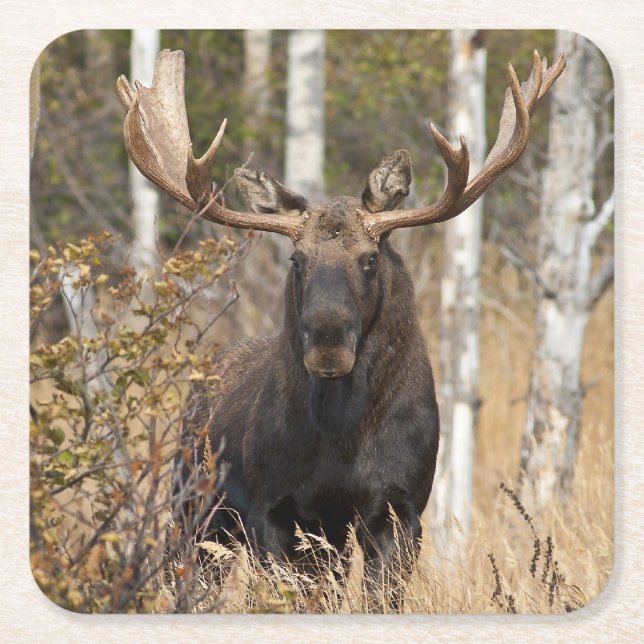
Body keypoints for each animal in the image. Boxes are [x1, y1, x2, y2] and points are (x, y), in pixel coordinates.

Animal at [117, 48, 564, 611]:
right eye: (297, 260)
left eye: (369, 259)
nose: (328, 343)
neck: (342, 442)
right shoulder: (274, 509)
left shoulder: (401, 507)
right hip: (194, 509)